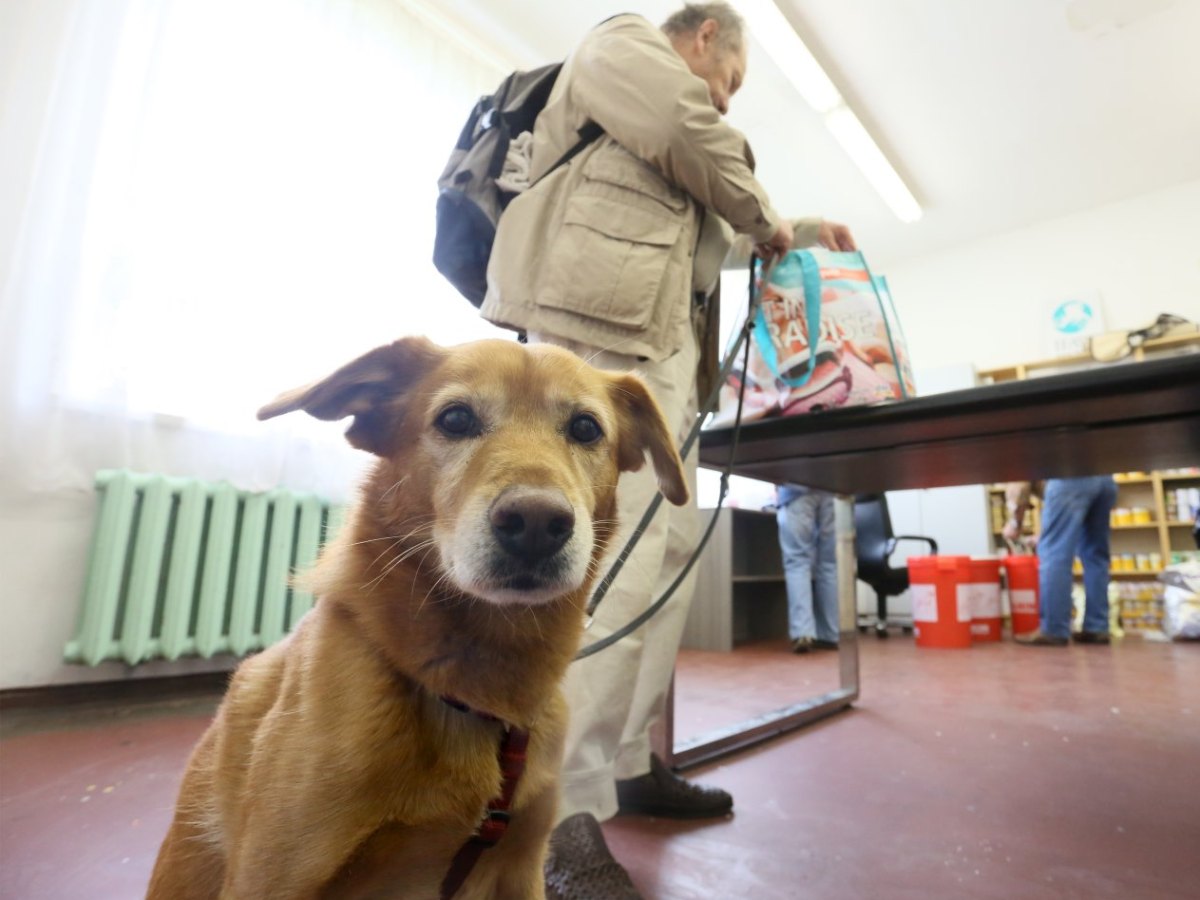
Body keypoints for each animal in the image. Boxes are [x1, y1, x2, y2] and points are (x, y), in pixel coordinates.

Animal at [147, 338, 696, 900]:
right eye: (455, 418)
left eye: (586, 428)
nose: (537, 523)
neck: (477, 691)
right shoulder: (271, 878)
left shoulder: (522, 867)